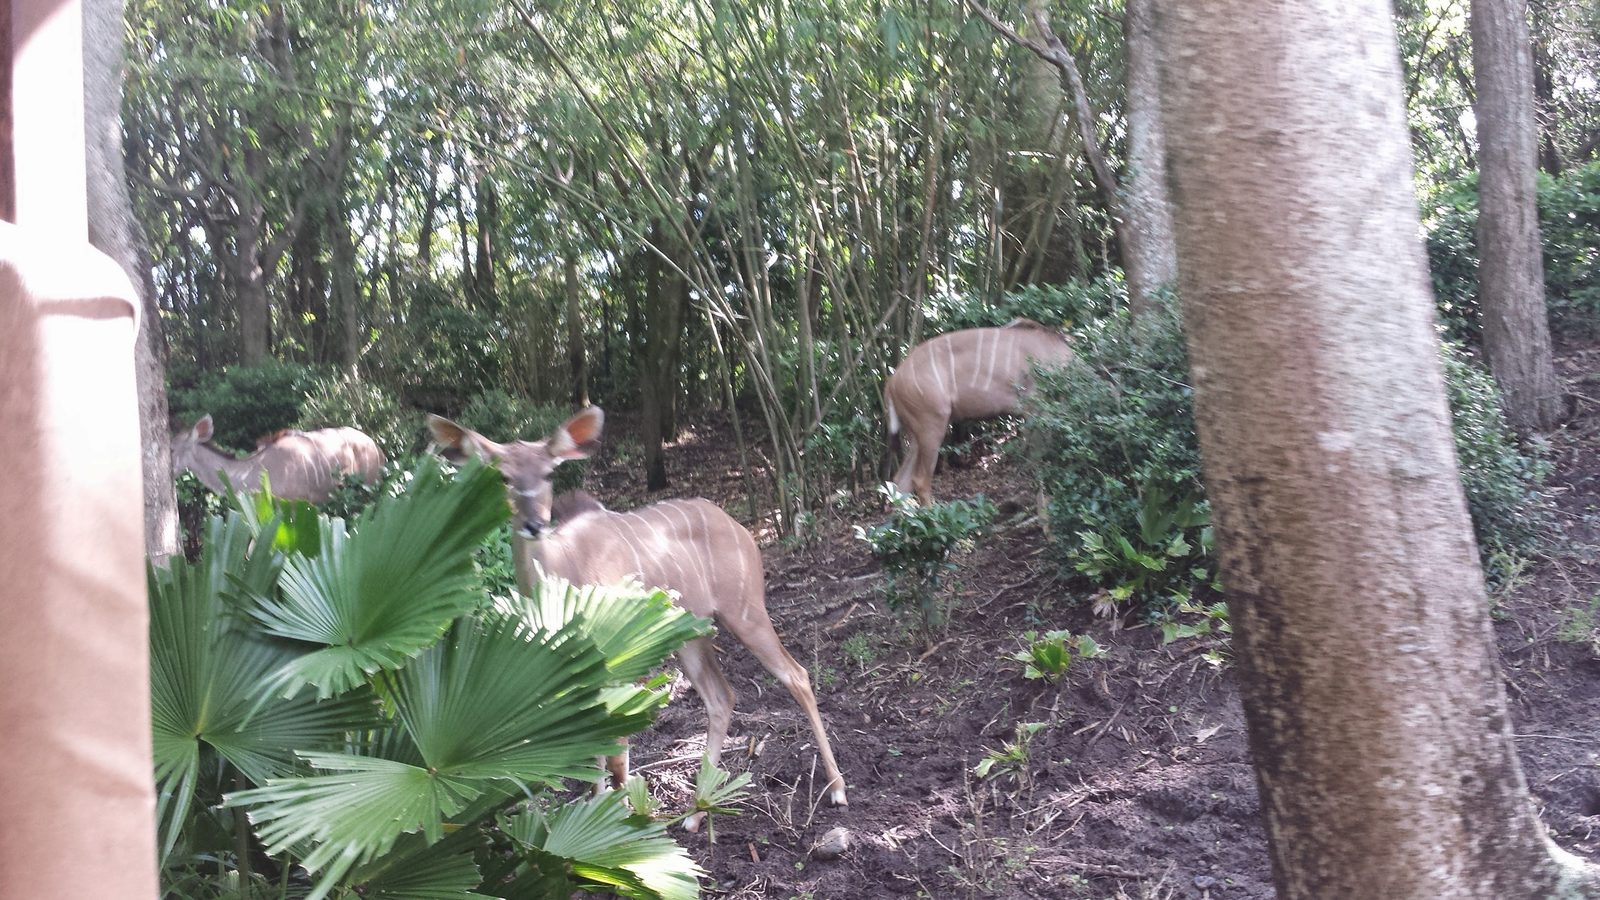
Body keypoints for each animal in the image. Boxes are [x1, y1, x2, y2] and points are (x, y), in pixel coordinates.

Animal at [427, 408, 848, 827]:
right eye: (504, 476)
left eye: (548, 473)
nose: (534, 525)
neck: (567, 567)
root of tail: (741, 530)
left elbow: (617, 747)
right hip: (692, 636)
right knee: (721, 697)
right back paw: (696, 813)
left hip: (745, 612)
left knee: (796, 675)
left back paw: (837, 789)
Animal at [885, 318, 1073, 504]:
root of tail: (892, 383)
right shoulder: (1036, 410)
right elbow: (1038, 459)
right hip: (932, 425)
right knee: (920, 480)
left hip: (917, 433)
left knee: (901, 481)